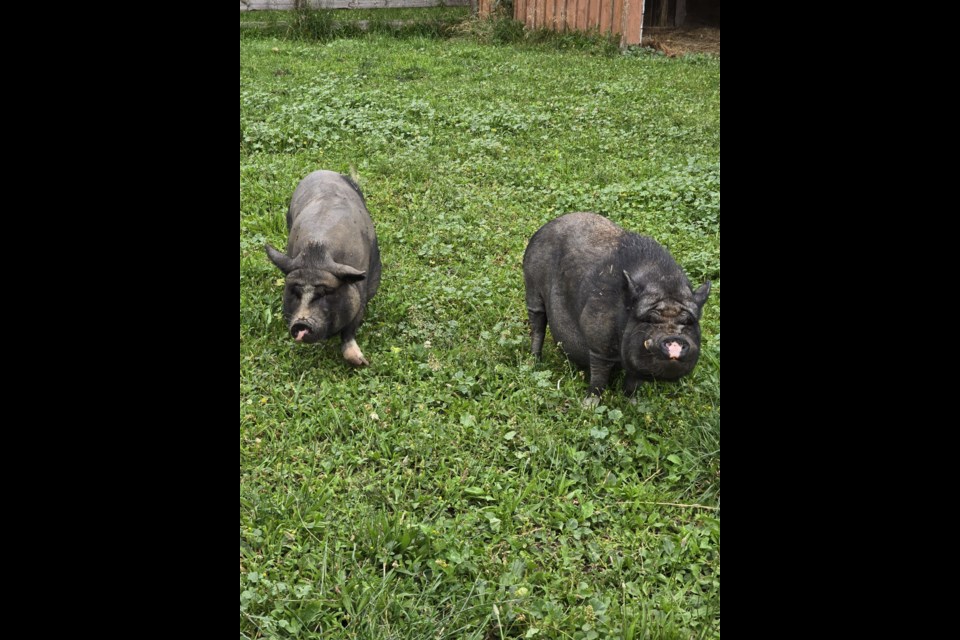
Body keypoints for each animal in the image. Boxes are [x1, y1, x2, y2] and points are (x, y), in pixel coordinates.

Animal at [266, 170, 382, 368]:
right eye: (294, 291)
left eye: (326, 292)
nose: (301, 323)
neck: (315, 259)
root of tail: (322, 171)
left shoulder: (360, 296)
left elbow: (350, 330)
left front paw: (363, 362)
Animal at [520, 212, 708, 398]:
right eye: (649, 320)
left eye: (688, 322)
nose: (674, 339)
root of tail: (546, 226)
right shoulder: (598, 344)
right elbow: (599, 379)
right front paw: (589, 404)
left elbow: (633, 383)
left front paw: (631, 401)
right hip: (532, 286)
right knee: (538, 325)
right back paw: (534, 362)